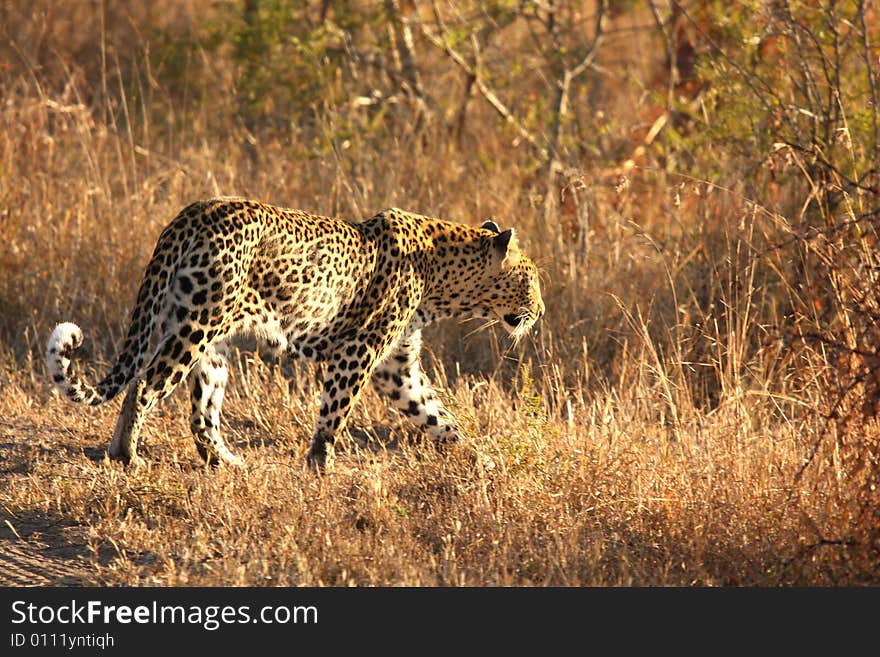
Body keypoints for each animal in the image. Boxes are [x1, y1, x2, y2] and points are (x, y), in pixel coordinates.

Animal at [48, 197, 548, 468]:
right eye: (530, 279)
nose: (541, 311)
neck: (443, 281)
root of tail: (192, 214)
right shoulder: (358, 352)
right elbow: (334, 415)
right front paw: (320, 468)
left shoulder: (398, 367)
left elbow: (438, 417)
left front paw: (480, 460)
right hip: (197, 325)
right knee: (145, 385)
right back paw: (126, 455)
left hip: (211, 343)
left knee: (201, 410)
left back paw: (223, 461)